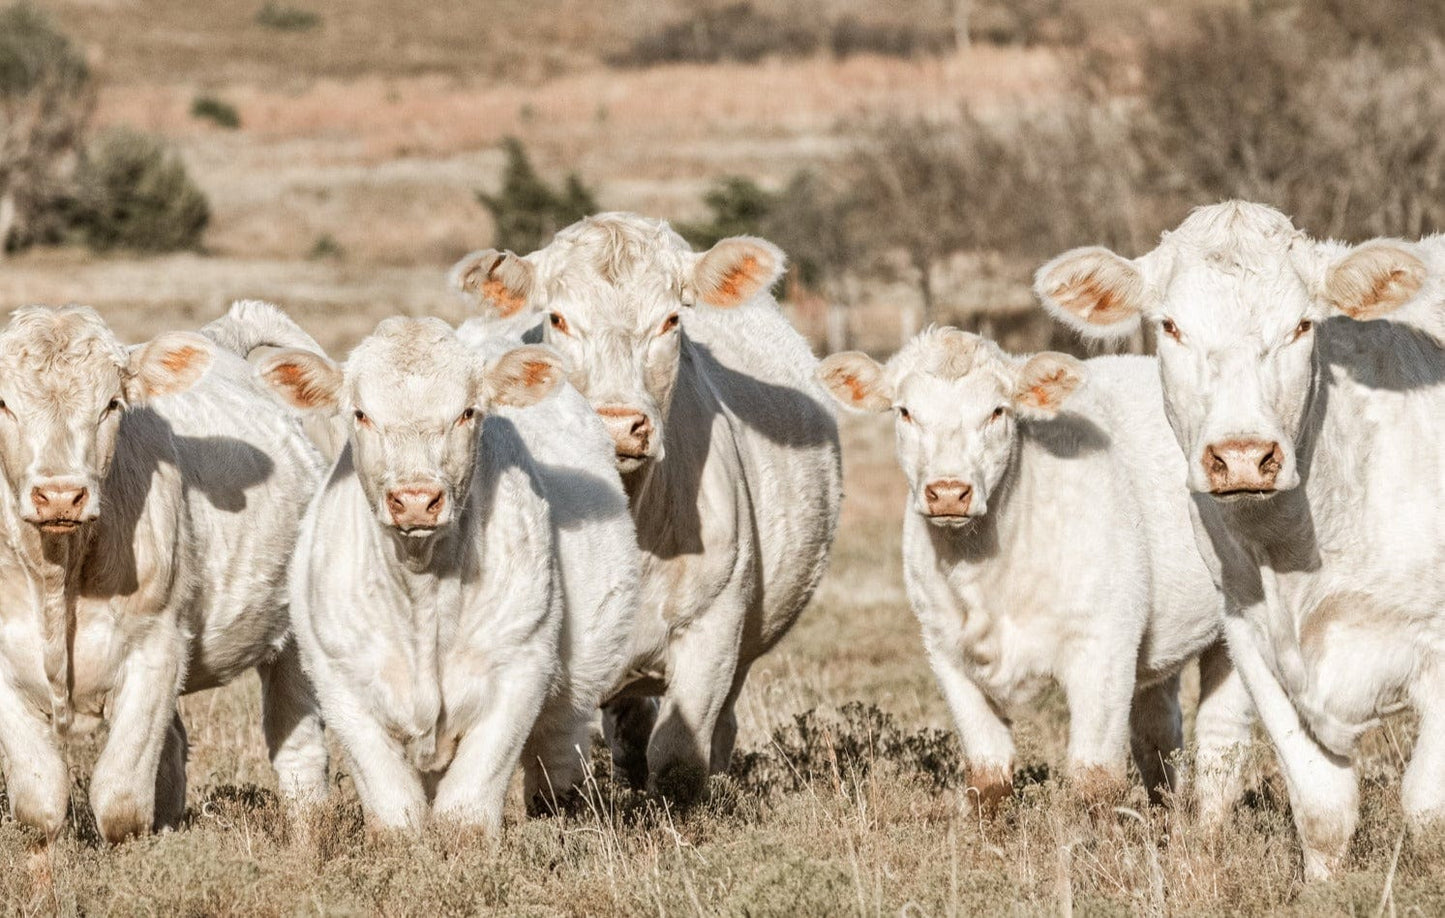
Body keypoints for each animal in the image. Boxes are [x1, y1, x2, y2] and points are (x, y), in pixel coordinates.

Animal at [0, 305, 326, 844]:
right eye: (3, 403)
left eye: (111, 404)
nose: (61, 495)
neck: (58, 573)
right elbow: (41, 800)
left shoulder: (156, 647)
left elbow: (120, 801)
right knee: (172, 751)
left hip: (295, 641)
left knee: (300, 754)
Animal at [254, 319, 632, 826]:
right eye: (360, 414)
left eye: (468, 412)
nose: (416, 499)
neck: (423, 589)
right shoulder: (342, 684)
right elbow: (396, 812)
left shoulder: (519, 669)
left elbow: (466, 810)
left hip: (578, 682)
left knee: (556, 753)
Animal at [814, 328, 1254, 809]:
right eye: (905, 412)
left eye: (997, 411)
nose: (948, 492)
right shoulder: (945, 651)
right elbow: (988, 773)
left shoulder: (1104, 643)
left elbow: (1095, 776)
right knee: (1158, 730)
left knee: (1221, 741)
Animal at [1040, 202, 1445, 884]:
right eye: (1171, 325)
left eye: (1303, 324)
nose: (1242, 456)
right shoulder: (1251, 633)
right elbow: (1322, 807)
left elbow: (1427, 807)